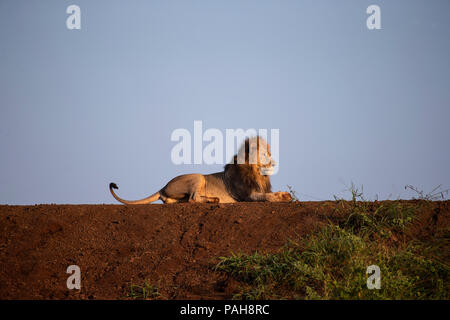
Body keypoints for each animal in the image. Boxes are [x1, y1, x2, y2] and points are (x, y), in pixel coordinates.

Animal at [109, 136, 292, 204]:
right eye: (265, 155)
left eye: (269, 154)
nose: (275, 163)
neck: (257, 174)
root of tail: (163, 187)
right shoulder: (245, 195)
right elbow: (265, 196)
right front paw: (283, 197)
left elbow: (267, 193)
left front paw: (285, 194)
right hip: (198, 177)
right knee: (192, 199)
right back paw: (213, 200)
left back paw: (212, 199)